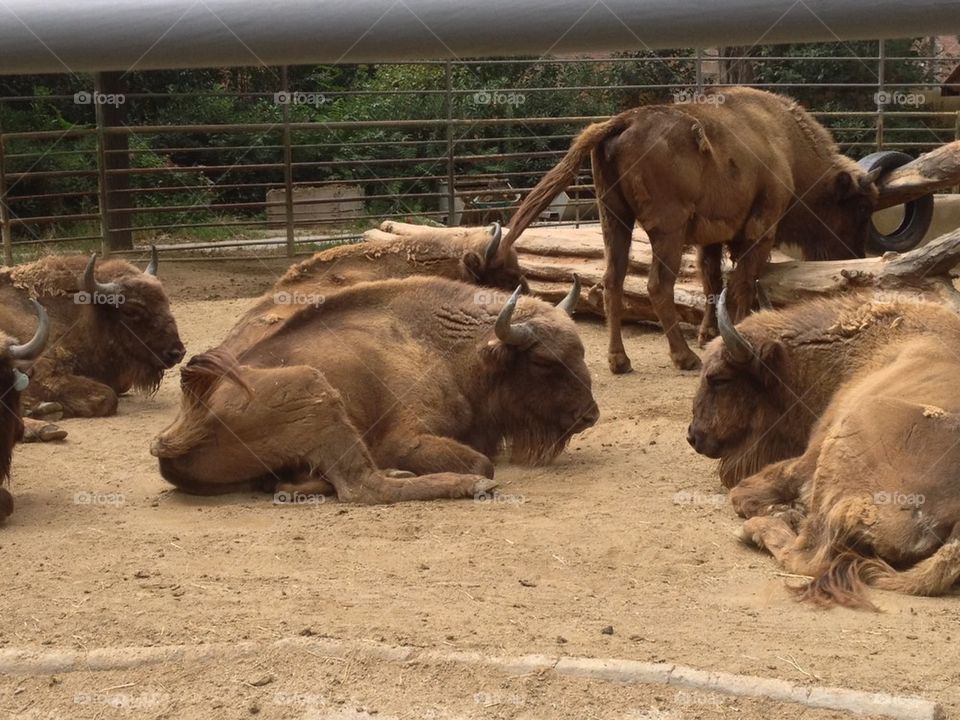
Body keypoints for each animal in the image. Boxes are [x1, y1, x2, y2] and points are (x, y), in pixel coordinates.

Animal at [152, 276, 598, 504]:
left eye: (580, 350)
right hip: (316, 390)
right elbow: (481, 462)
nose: (589, 415)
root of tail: (185, 421)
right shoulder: (406, 436)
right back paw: (462, 485)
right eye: (544, 362)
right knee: (360, 488)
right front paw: (475, 477)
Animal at [500, 87, 880, 372]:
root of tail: (624, 120)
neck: (785, 145)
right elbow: (740, 282)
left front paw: (709, 333)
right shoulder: (759, 230)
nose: (853, 254)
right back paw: (684, 358)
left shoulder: (710, 238)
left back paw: (619, 360)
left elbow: (712, 281)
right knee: (657, 285)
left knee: (613, 280)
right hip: (668, 229)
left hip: (614, 218)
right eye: (860, 209)